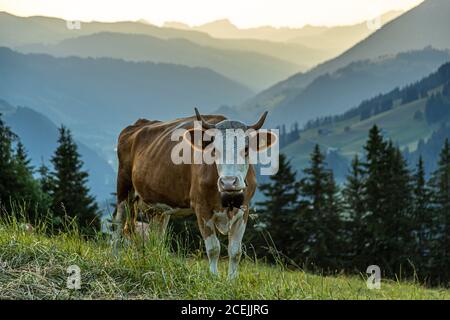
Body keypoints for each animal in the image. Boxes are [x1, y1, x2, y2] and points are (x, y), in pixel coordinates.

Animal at [112, 109, 276, 278]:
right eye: (214, 150)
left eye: (246, 149)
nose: (229, 182)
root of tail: (140, 123)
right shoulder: (202, 208)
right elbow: (213, 248)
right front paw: (214, 278)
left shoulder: (244, 209)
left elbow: (235, 251)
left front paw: (231, 280)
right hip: (124, 186)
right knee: (119, 224)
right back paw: (115, 259)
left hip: (158, 206)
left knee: (156, 235)